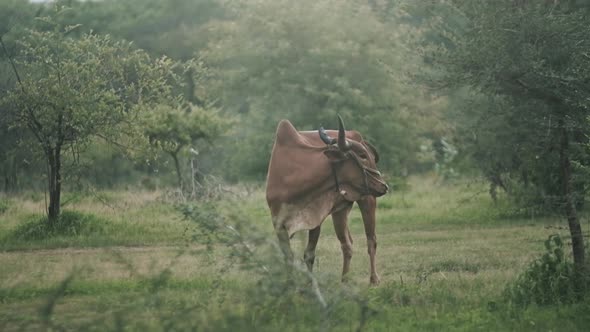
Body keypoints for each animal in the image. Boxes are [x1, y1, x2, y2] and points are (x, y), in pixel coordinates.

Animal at [268, 115, 388, 284]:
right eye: (362, 156)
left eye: (369, 156)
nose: (384, 186)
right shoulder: (278, 222)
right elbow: (288, 256)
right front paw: (290, 284)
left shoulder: (315, 218)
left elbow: (309, 254)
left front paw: (311, 284)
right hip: (341, 210)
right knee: (347, 244)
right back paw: (344, 280)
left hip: (368, 199)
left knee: (371, 240)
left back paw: (374, 279)